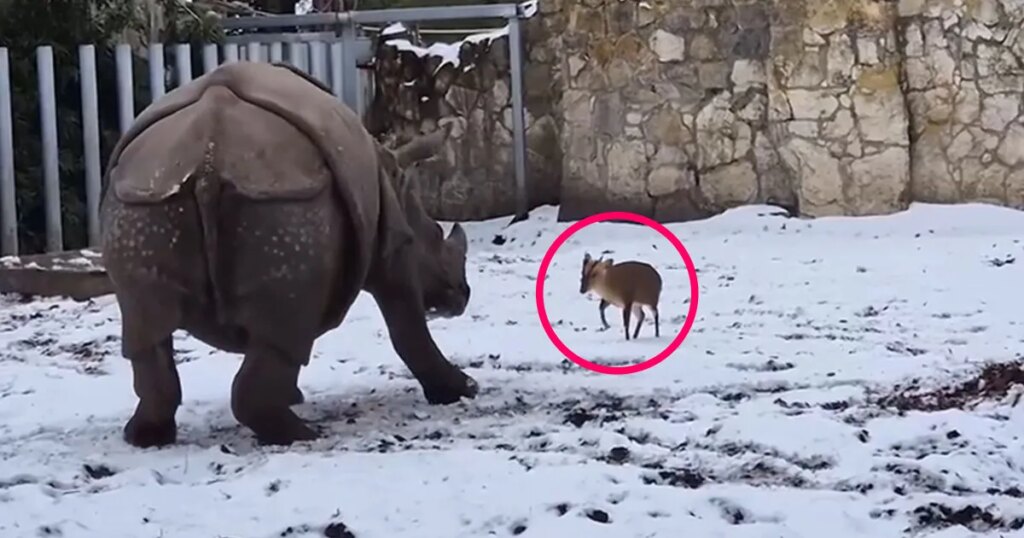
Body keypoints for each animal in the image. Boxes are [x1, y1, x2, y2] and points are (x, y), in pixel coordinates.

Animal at [99, 60, 478, 448]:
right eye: (437, 237)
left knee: (147, 330)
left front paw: (293, 395)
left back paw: (146, 436)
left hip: (143, 203)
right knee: (286, 329)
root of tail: (207, 158)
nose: (462, 295)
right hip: (286, 203)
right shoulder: (394, 245)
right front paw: (463, 390)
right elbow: (407, 323)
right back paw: (305, 435)